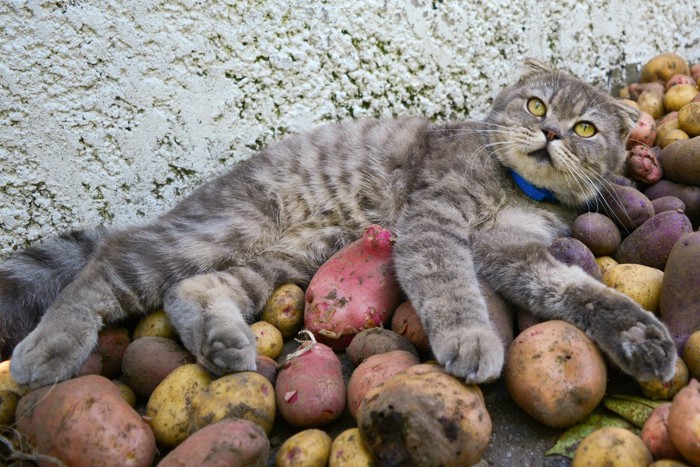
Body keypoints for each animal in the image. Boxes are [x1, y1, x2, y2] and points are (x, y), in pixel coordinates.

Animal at [0, 58, 680, 388]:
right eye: (536, 104)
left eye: (585, 127)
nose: (550, 133)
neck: (515, 188)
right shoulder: (432, 222)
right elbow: (449, 286)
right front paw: (470, 340)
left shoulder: (516, 248)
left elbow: (577, 290)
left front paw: (641, 337)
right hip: (225, 228)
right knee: (112, 259)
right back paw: (50, 347)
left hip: (287, 258)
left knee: (192, 288)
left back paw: (222, 345)